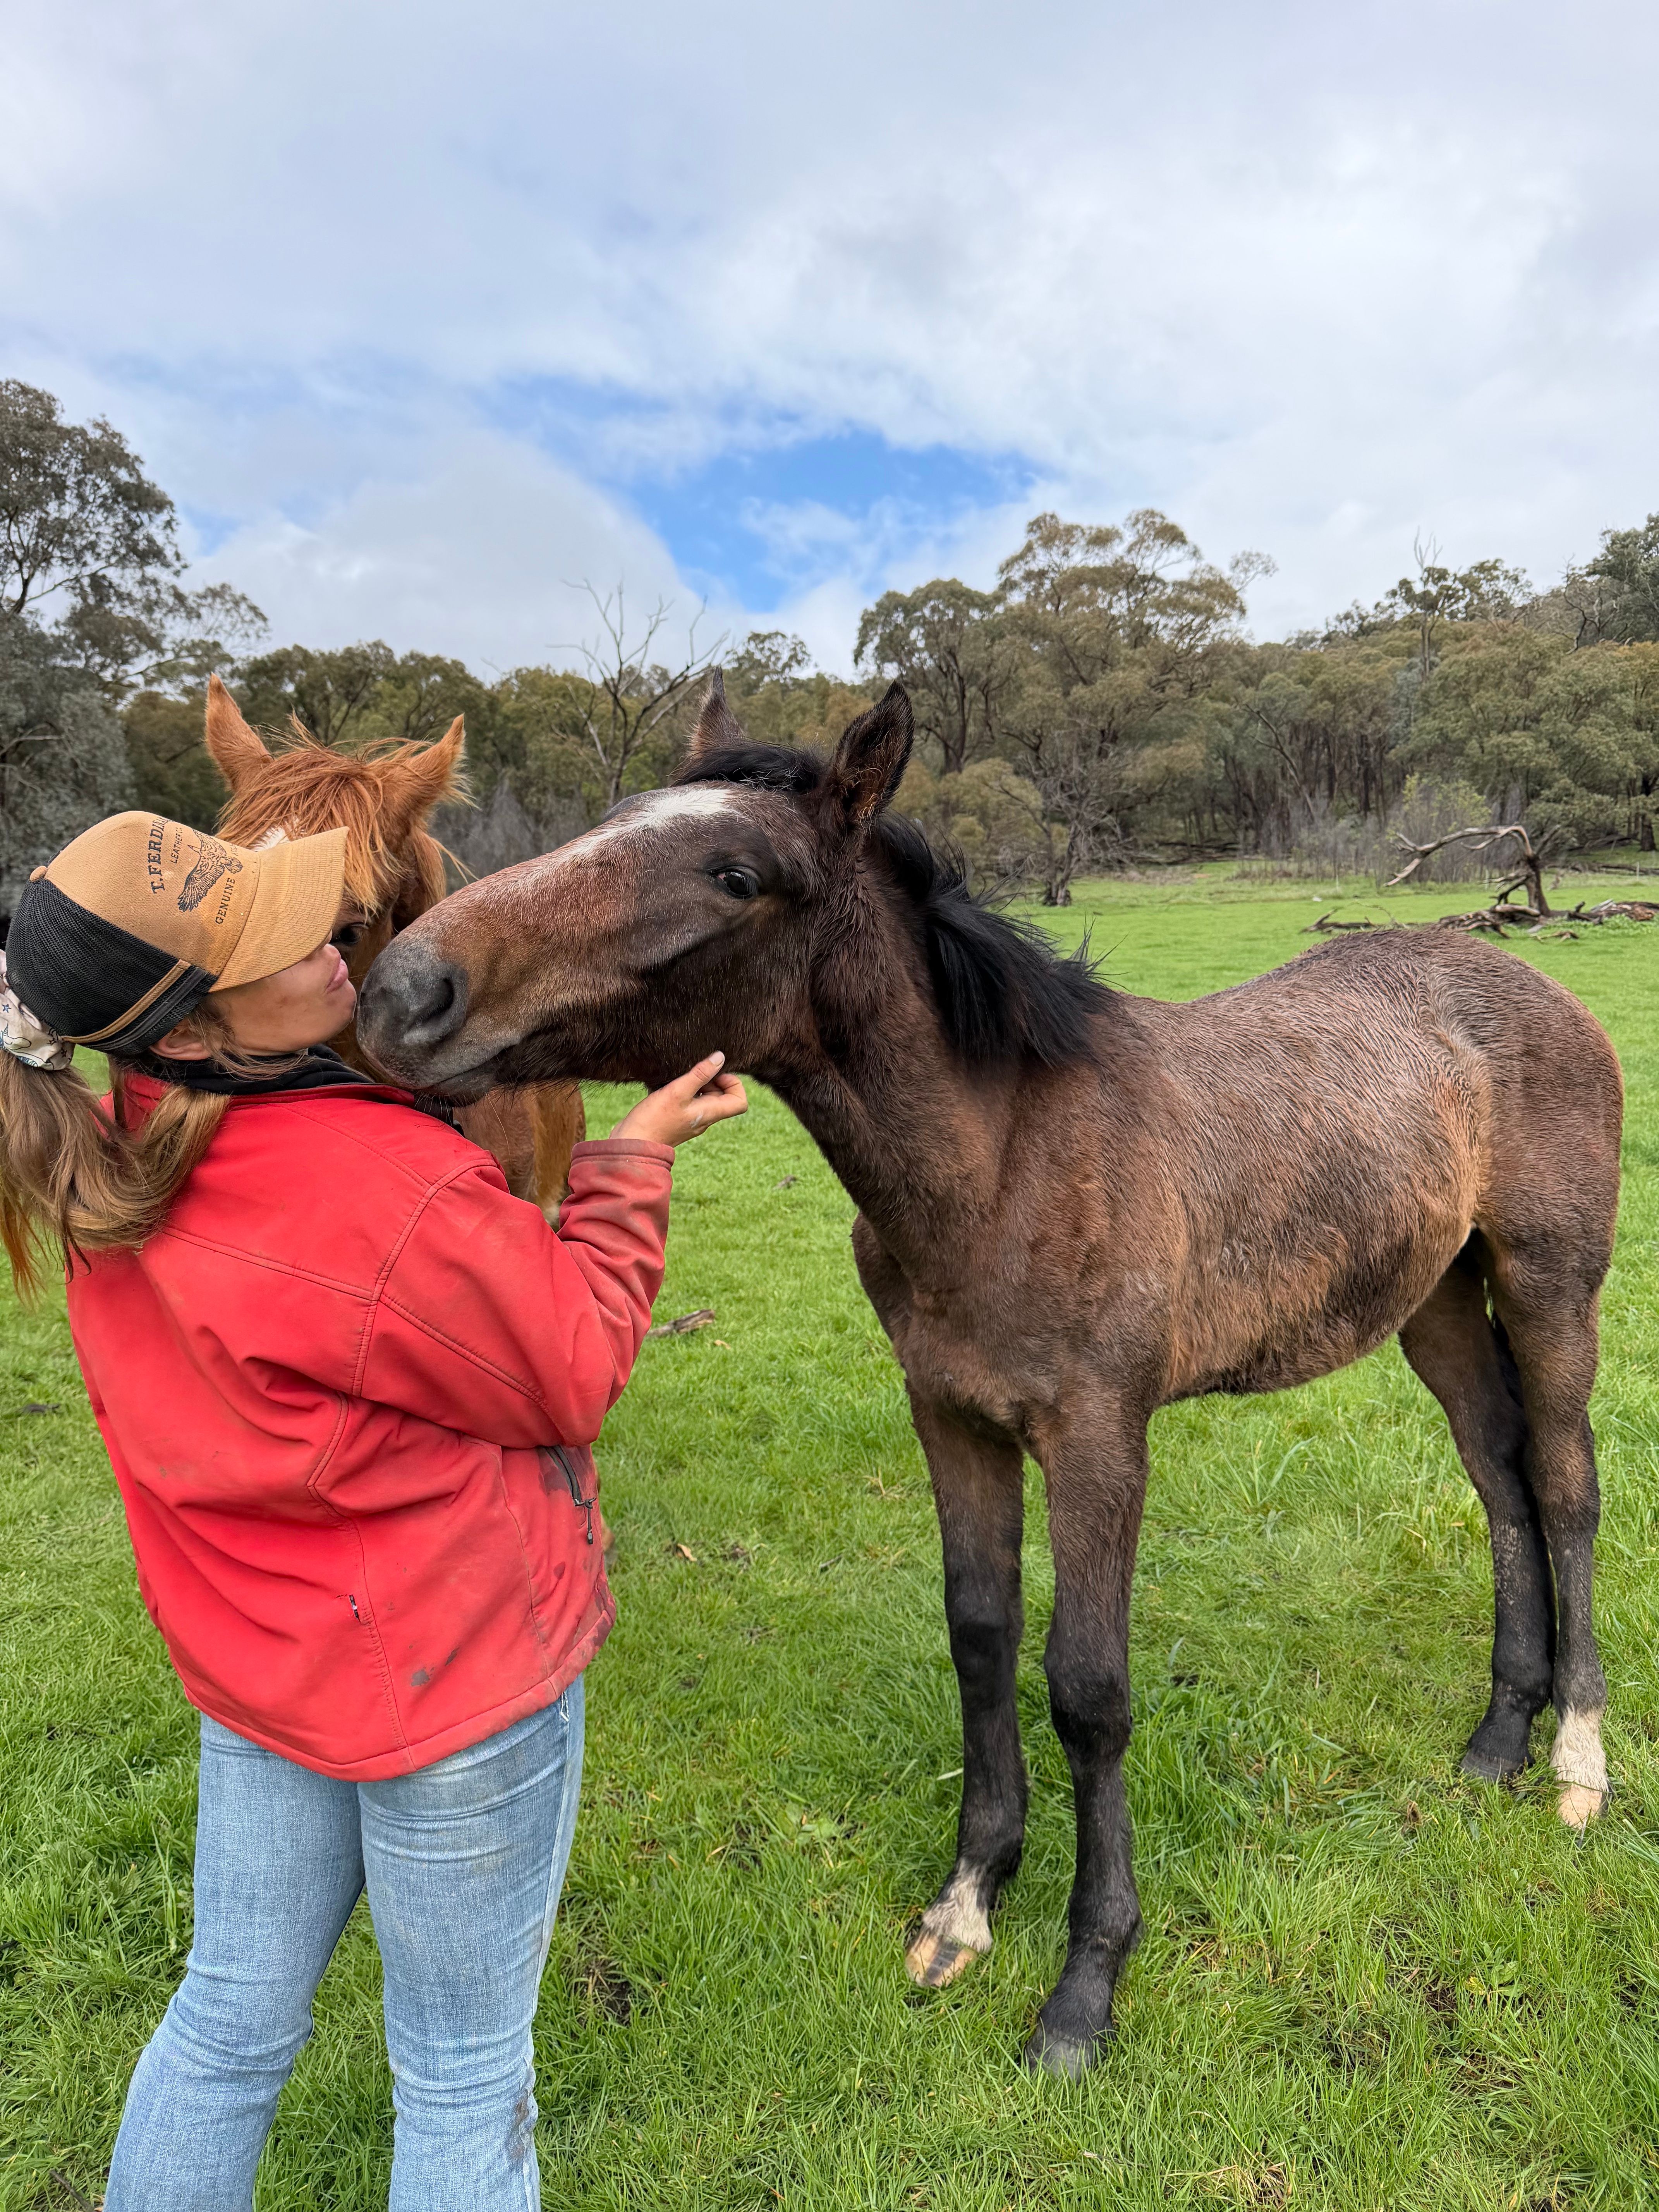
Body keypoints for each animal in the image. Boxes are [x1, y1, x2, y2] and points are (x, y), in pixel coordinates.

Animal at [357, 677, 1623, 2077]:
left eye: (735, 873)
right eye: (612, 817)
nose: (407, 991)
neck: (1000, 1164)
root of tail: (1527, 982)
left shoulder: (1098, 1437)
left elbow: (1089, 1691)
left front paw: (1085, 1983)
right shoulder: (951, 1416)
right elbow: (978, 1637)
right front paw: (965, 1905)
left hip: (1548, 1281)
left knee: (1564, 1482)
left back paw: (1575, 1756)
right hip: (1437, 1300)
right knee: (1498, 1476)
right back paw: (1496, 1735)